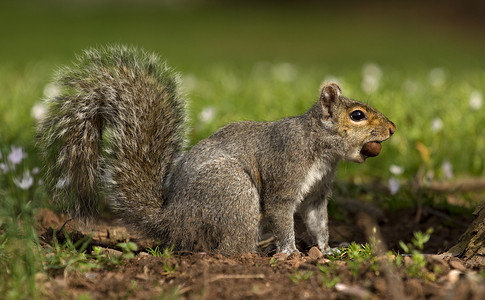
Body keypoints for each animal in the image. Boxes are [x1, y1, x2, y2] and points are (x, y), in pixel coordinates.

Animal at [36, 45, 394, 255]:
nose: (392, 129)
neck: (319, 146)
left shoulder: (317, 192)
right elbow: (281, 212)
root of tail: (173, 219)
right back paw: (256, 255)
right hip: (233, 192)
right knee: (229, 249)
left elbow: (318, 220)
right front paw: (291, 251)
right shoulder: (284, 169)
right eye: (357, 115)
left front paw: (326, 249)